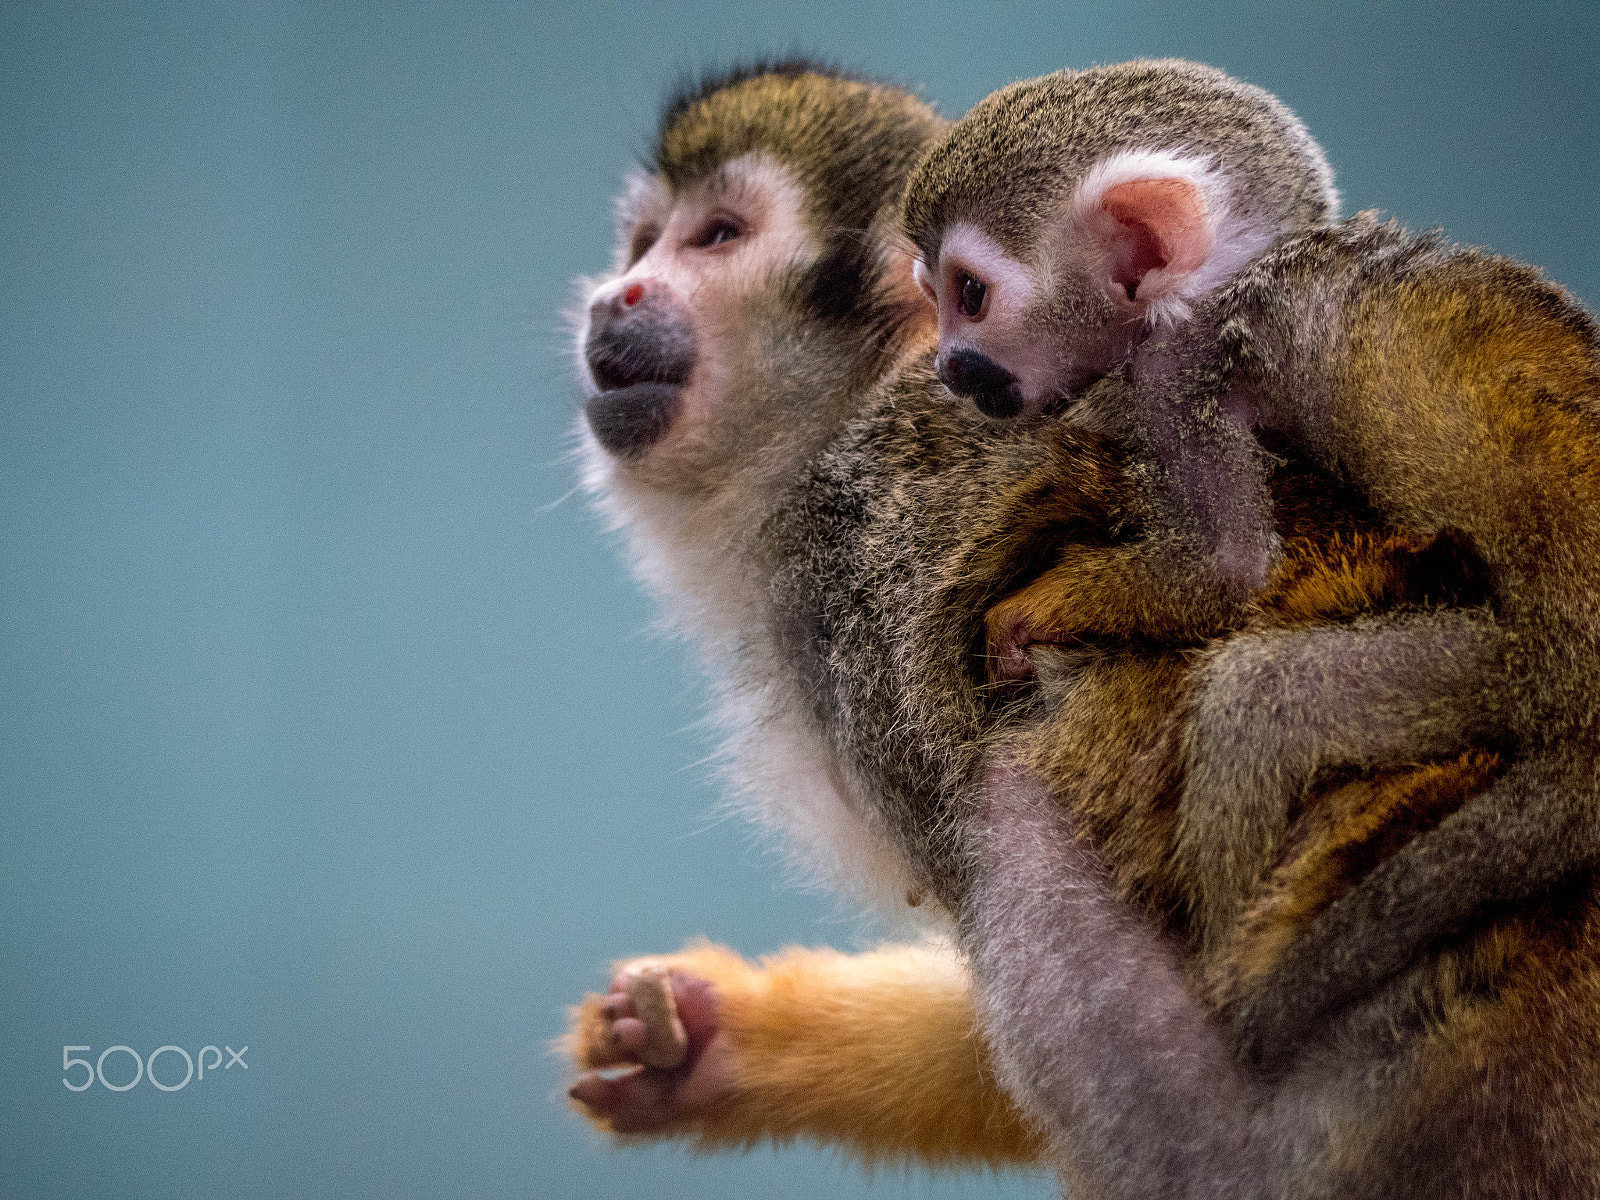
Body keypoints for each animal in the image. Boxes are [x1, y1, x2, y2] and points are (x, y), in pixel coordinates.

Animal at [901, 59, 1600, 1064]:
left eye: (971, 295)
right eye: (938, 298)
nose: (951, 367)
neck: (1229, 284)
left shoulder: (1176, 375)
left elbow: (1224, 568)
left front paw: (1028, 612)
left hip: (1521, 678)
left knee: (1261, 703)